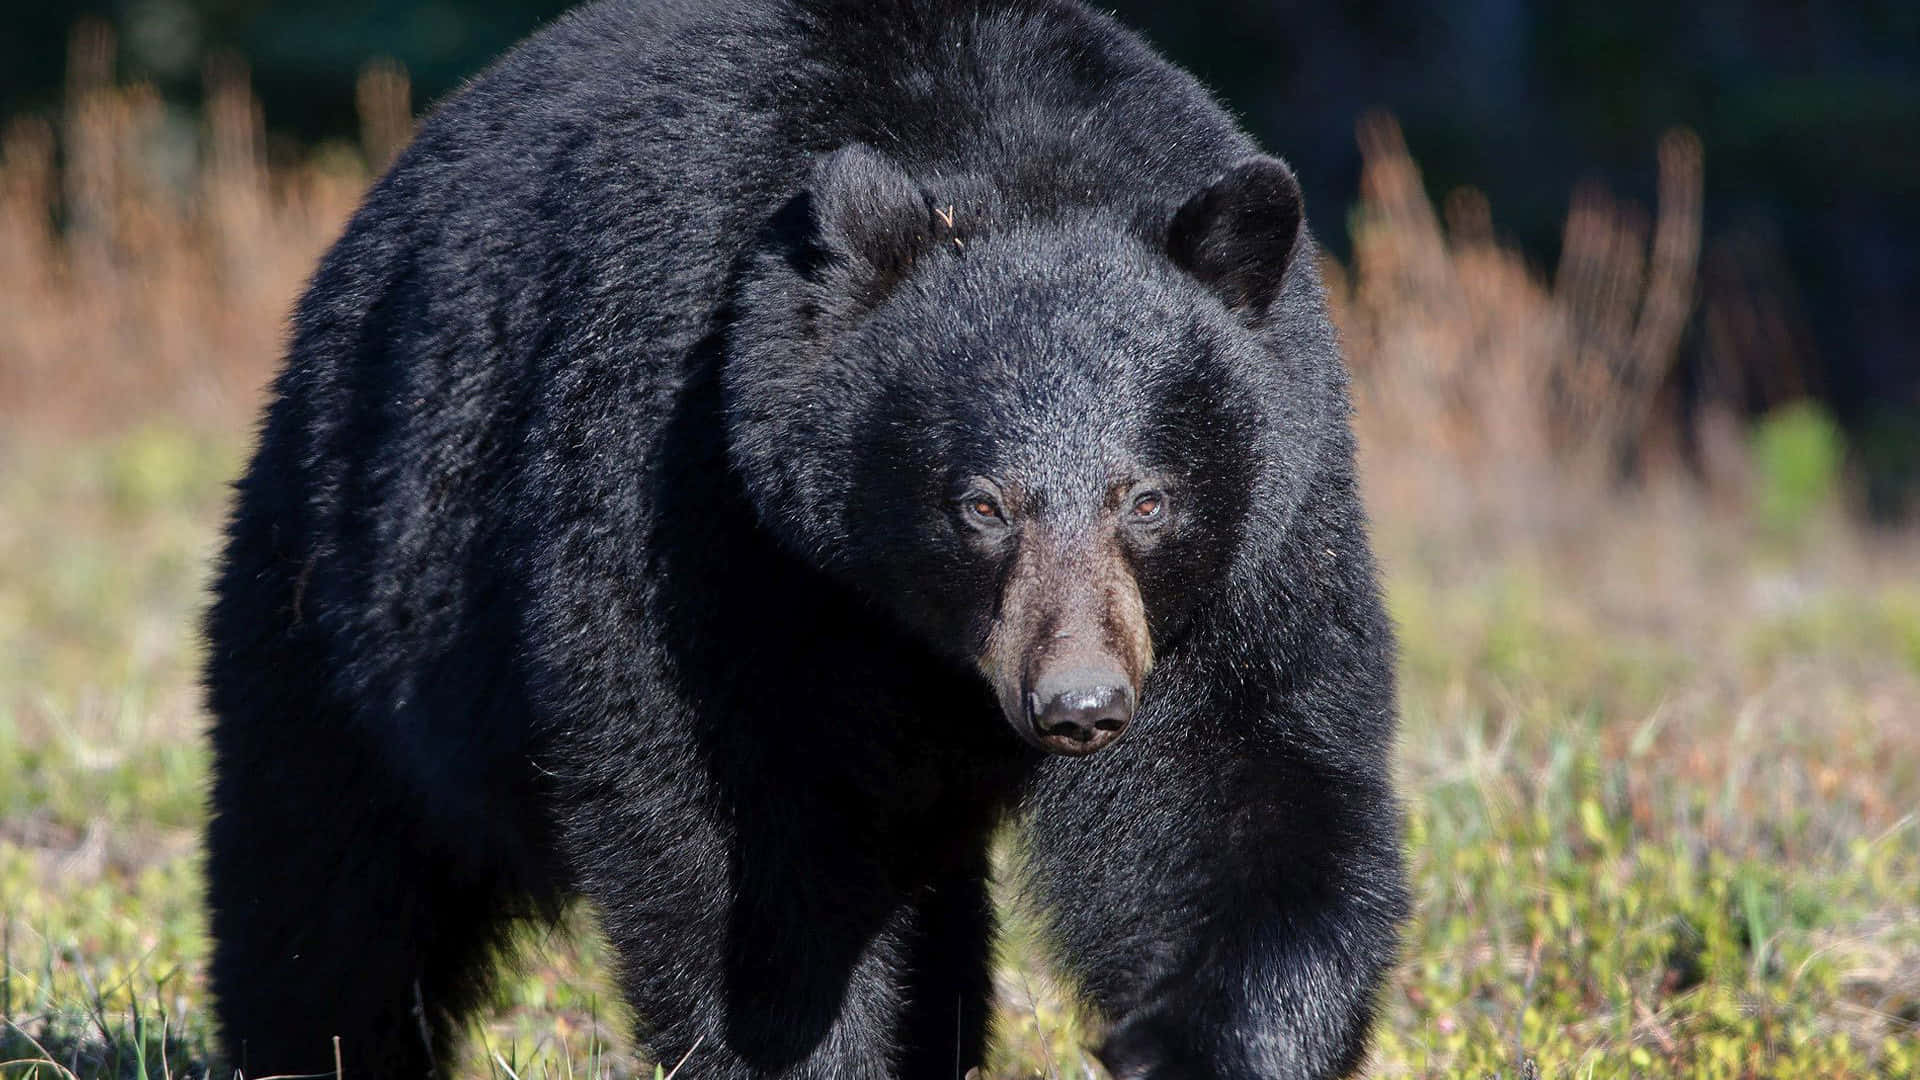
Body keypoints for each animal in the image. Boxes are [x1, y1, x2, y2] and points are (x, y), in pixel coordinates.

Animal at [200, 0, 1409, 1077]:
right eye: (981, 504)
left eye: (1146, 500)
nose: (1079, 704)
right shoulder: (693, 490)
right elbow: (728, 833)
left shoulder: (1257, 546)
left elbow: (1239, 783)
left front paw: (1210, 1042)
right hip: (352, 571)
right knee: (324, 866)